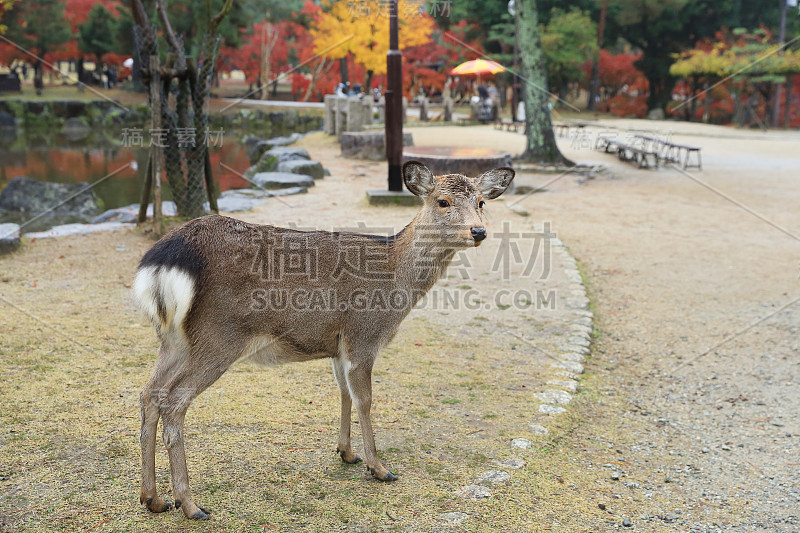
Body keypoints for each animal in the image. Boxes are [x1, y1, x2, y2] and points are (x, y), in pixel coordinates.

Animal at [131, 160, 512, 516]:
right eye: (442, 201)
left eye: (481, 202)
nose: (478, 231)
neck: (396, 282)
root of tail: (163, 261)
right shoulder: (364, 333)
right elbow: (365, 400)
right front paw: (379, 467)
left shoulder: (337, 344)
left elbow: (343, 393)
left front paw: (346, 453)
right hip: (219, 335)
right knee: (173, 401)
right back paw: (190, 504)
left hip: (174, 339)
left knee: (150, 393)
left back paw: (153, 498)